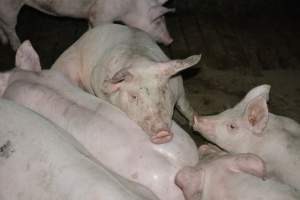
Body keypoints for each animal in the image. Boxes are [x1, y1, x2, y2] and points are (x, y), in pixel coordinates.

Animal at [0, 0, 173, 50]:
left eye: (164, 20)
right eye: (158, 21)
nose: (170, 40)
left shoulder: (92, 15)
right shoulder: (102, 14)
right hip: (9, 6)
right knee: (10, 26)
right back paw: (16, 46)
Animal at [51, 23, 202, 144]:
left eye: (163, 91)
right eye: (133, 96)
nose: (162, 132)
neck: (140, 60)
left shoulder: (179, 88)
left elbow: (185, 106)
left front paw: (194, 123)